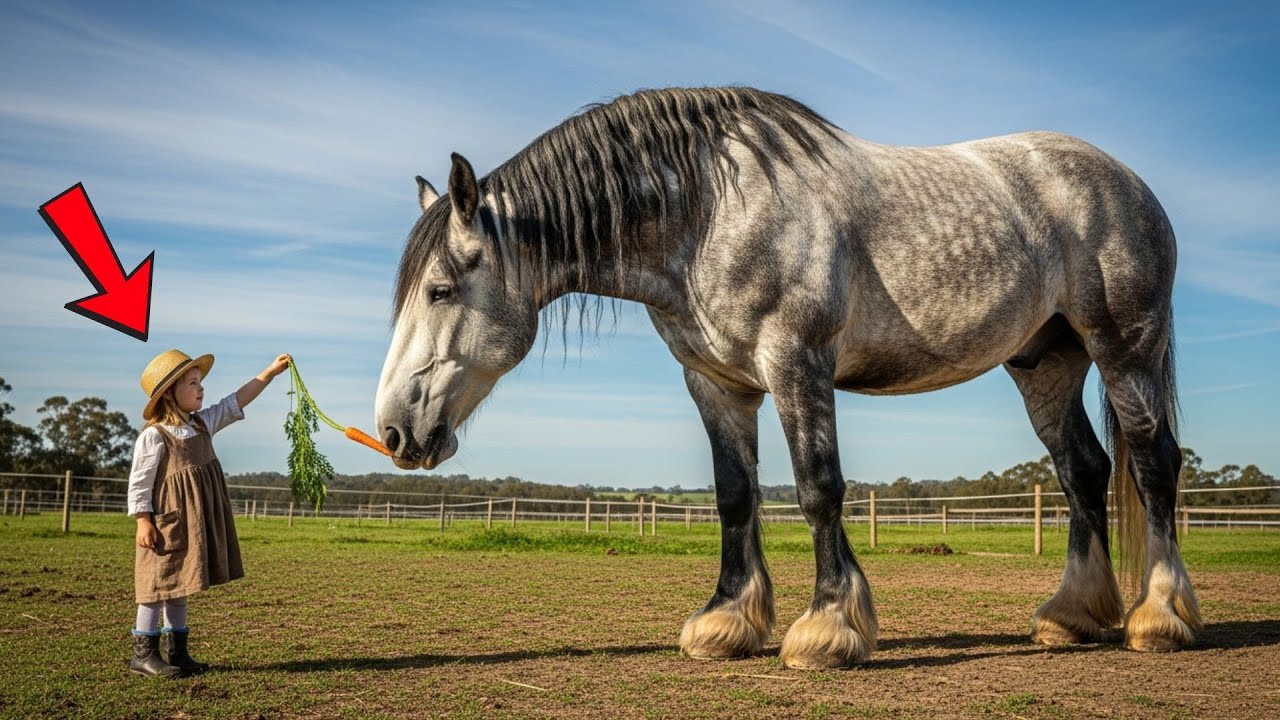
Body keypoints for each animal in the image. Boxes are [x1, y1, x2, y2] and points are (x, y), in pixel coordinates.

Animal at [374, 87, 1201, 669]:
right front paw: (725, 623)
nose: (394, 430)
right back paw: (1071, 617)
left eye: (440, 290)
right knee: (1083, 470)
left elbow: (817, 487)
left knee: (1152, 466)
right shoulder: (716, 381)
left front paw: (828, 629)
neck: (709, 210)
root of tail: (1126, 181)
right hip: (1045, 361)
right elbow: (735, 496)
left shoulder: (796, 361)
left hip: (1123, 345)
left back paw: (1159, 617)